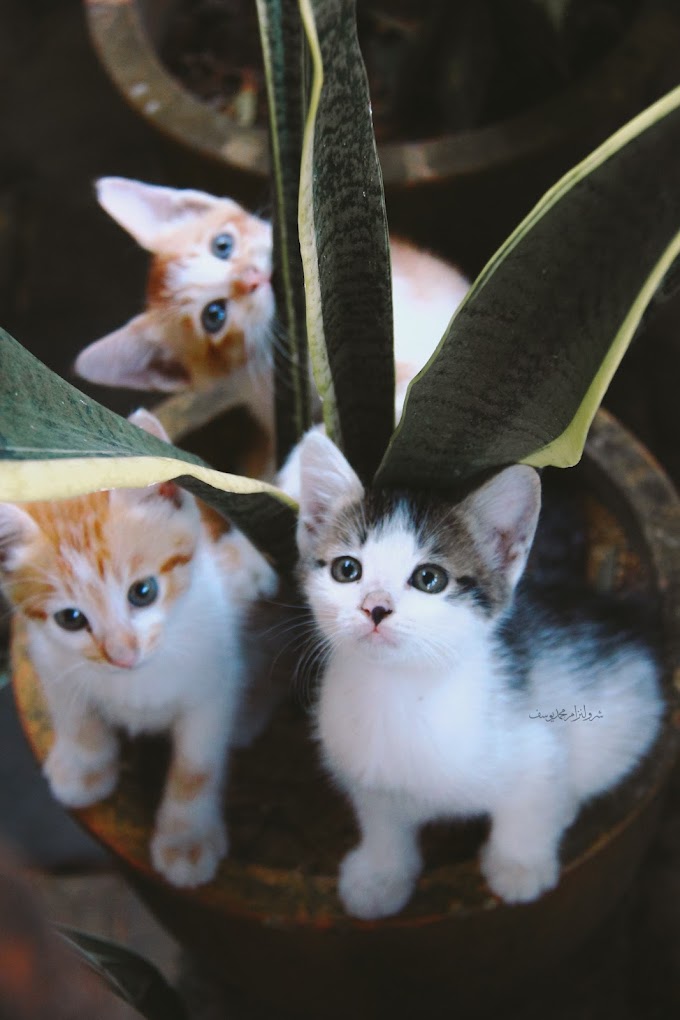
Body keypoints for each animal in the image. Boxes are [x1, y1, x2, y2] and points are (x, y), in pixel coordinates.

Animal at [0, 410, 279, 889]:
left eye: (143, 592)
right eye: (70, 619)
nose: (122, 655)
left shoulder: (213, 684)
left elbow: (196, 764)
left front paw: (185, 839)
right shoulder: (48, 656)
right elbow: (74, 710)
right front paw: (84, 766)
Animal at [295, 428, 660, 918]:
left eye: (429, 578)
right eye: (347, 569)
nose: (375, 607)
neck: (400, 693)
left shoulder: (537, 745)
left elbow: (533, 800)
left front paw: (519, 867)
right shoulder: (367, 773)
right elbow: (383, 823)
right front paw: (379, 876)